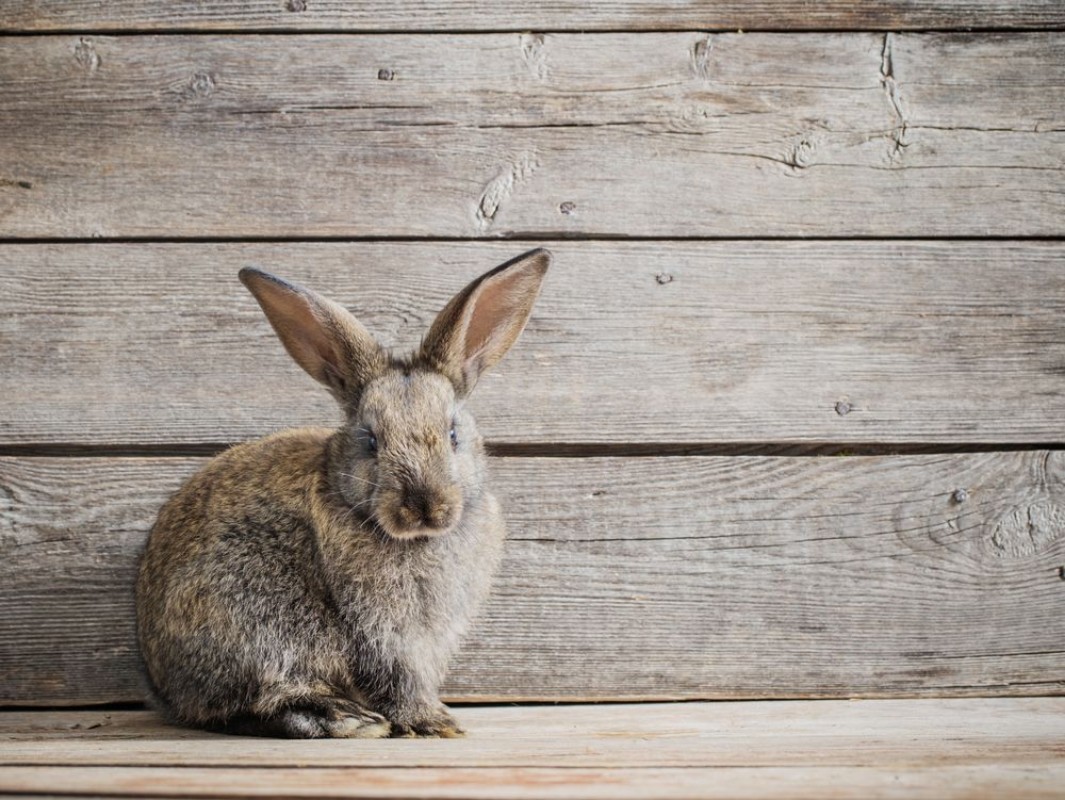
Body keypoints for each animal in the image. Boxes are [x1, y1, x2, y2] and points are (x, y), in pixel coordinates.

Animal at [135, 248, 551, 738]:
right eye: (370, 440)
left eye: (453, 434)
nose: (425, 506)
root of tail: (164, 688)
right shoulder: (380, 632)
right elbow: (395, 677)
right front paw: (432, 722)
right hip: (260, 616)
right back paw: (346, 719)